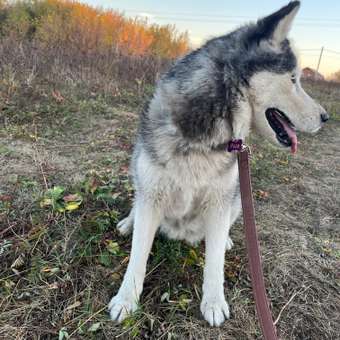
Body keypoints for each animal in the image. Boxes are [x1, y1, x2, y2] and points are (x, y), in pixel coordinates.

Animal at [107, 1, 328, 326]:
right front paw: (125, 300)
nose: (327, 117)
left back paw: (223, 240)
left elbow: (215, 264)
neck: (208, 132)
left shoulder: (220, 202)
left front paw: (213, 302)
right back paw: (128, 222)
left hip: (236, 198)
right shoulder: (153, 193)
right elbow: (137, 256)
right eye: (292, 79)